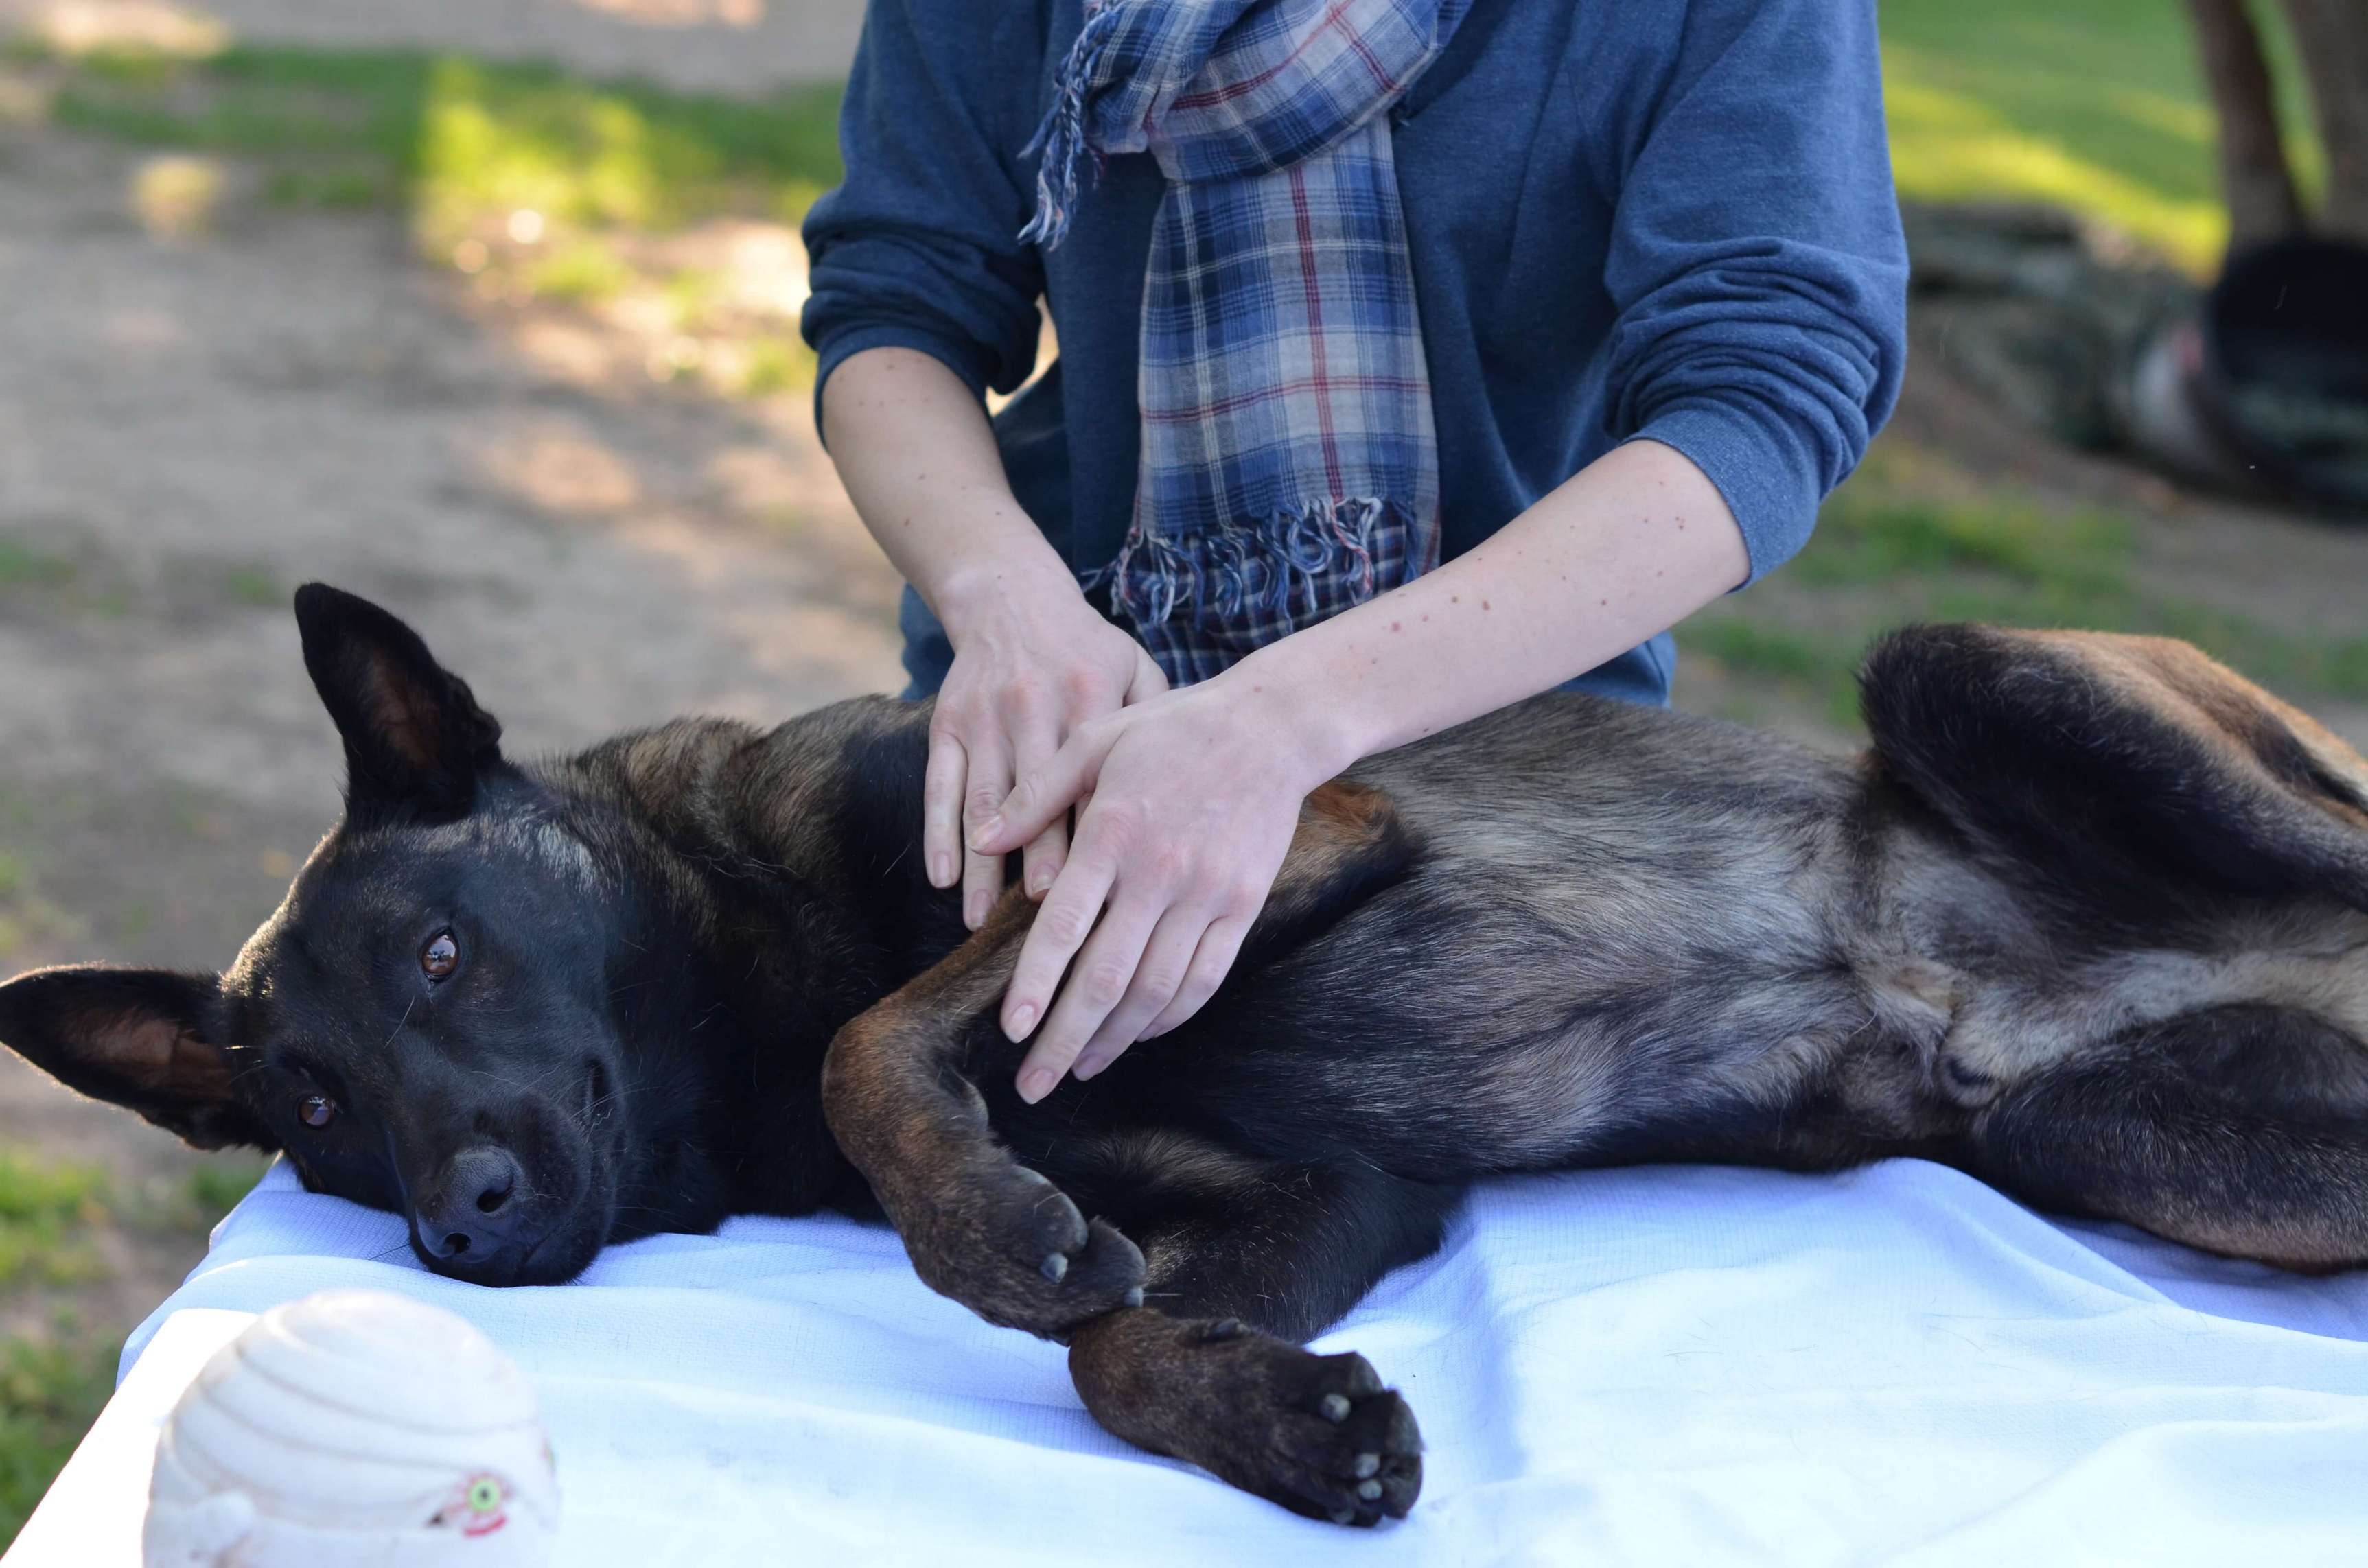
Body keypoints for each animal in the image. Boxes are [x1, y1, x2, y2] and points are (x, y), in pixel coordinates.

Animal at [4, 587, 2368, 1525]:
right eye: (310, 1110)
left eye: (440, 950)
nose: (463, 1226)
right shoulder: (1336, 1193)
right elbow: (1113, 1340)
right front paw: (1294, 1423)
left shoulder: (1273, 822)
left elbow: (888, 1031)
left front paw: (978, 1221)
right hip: (2166, 1147)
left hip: (1975, 675)